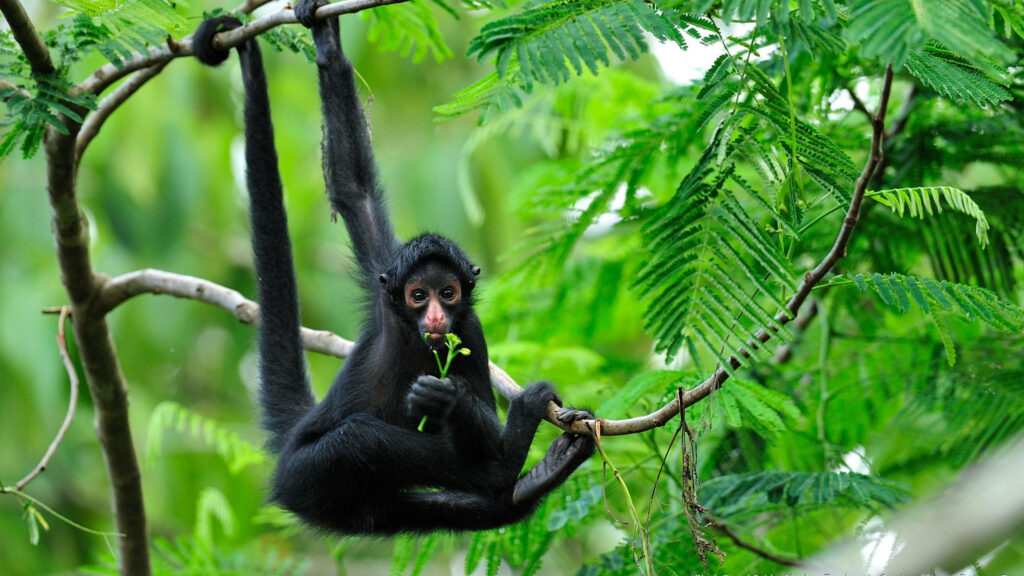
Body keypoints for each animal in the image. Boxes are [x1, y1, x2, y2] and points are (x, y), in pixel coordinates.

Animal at [191, 3, 594, 535]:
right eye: (417, 296)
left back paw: (529, 481)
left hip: (366, 508)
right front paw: (327, 43)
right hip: (307, 473)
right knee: (360, 440)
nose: (436, 317)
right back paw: (508, 466)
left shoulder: (470, 328)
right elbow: (354, 189)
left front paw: (451, 400)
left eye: (448, 293)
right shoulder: (387, 280)